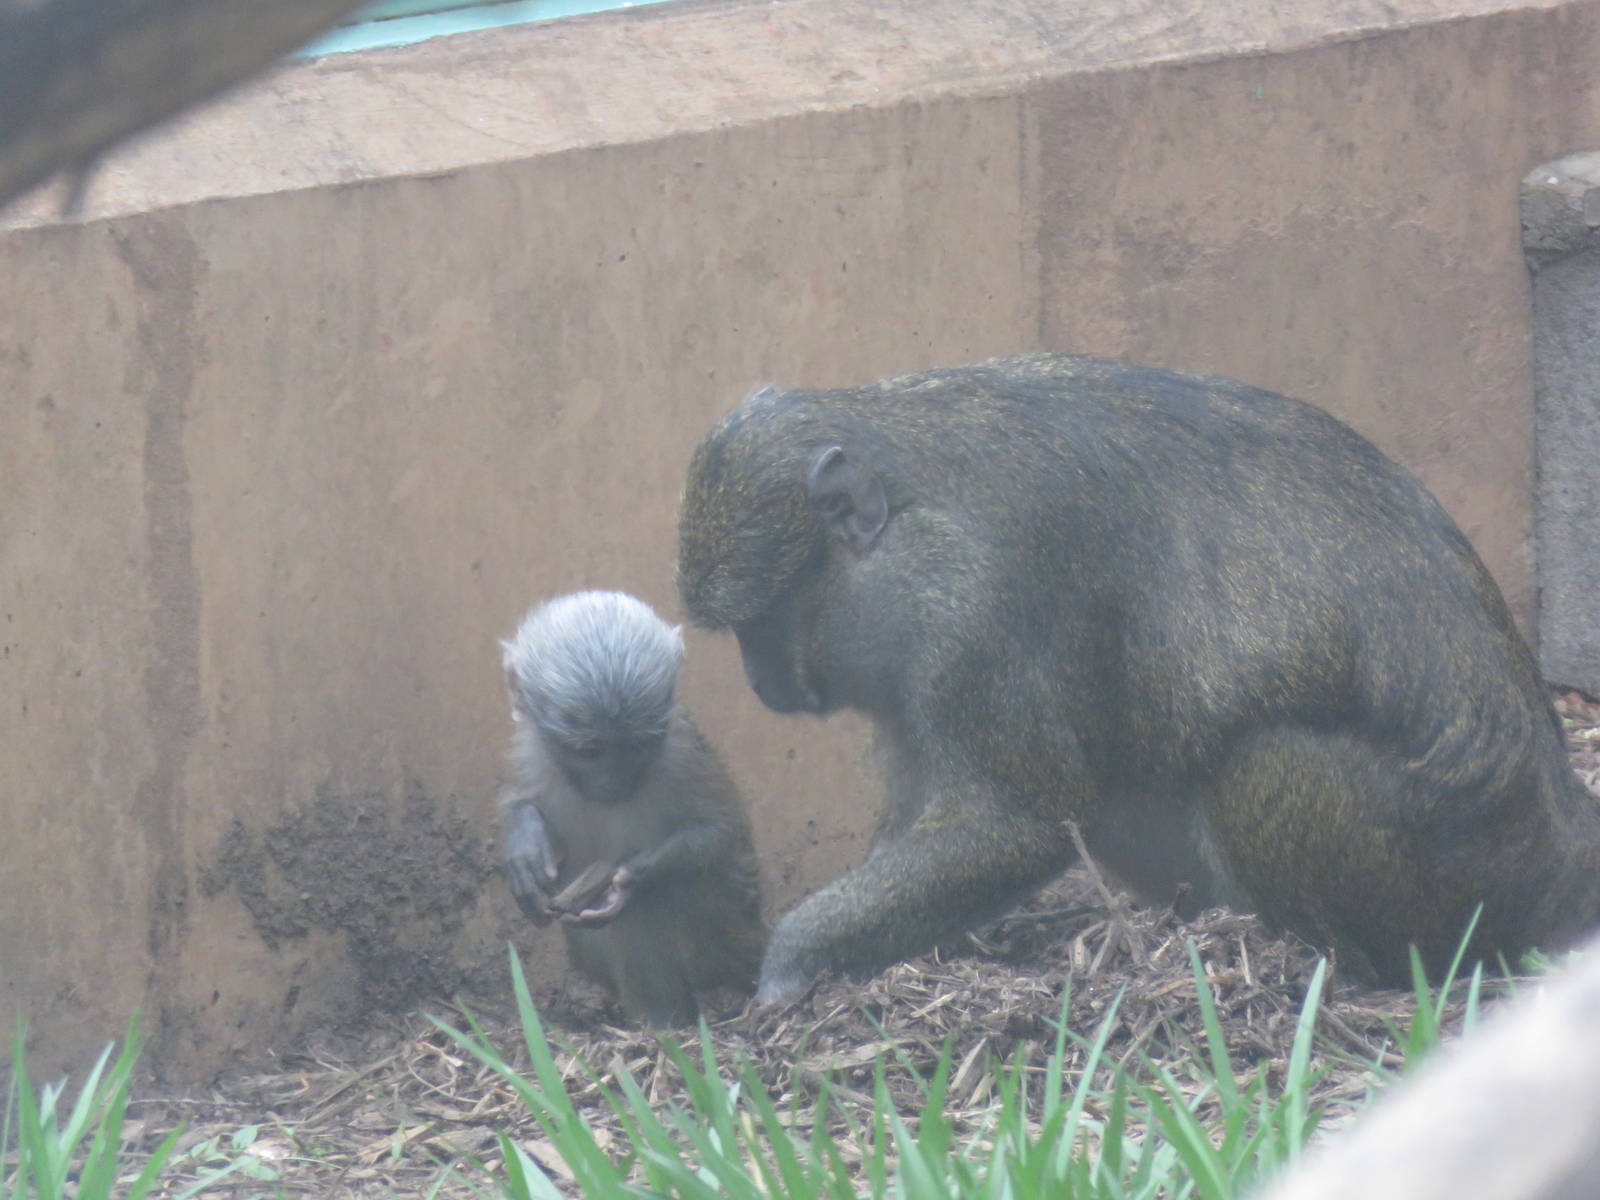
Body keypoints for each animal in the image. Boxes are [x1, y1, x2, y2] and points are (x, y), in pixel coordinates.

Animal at [498, 590, 765, 1025]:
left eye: (636, 745)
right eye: (590, 751)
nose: (614, 782)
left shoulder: (681, 755)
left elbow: (721, 836)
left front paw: (634, 877)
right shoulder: (531, 750)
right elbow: (520, 799)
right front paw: (524, 846)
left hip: (728, 940)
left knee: (649, 911)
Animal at [676, 353, 1600, 1001]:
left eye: (763, 625)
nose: (760, 681)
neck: (910, 489)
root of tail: (1561, 839)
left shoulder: (973, 613)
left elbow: (1019, 823)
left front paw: (789, 961)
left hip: (1448, 864)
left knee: (1267, 761)